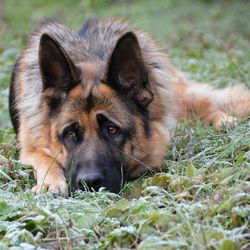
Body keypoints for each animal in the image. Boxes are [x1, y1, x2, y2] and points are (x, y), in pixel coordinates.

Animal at [8, 18, 250, 196]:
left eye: (112, 129)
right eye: (70, 133)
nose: (88, 183)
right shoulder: (29, 148)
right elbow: (45, 158)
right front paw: (50, 181)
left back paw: (223, 120)